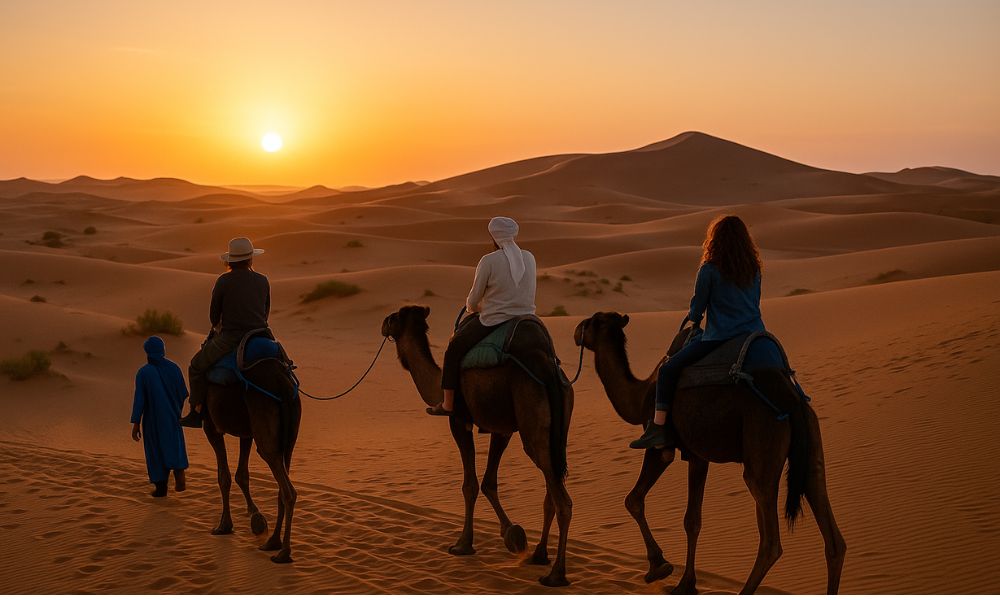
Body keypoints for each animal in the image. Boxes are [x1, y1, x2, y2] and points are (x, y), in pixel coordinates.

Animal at [202, 358, 302, 563]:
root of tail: (282, 384)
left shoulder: (212, 427)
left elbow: (224, 477)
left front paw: (224, 525)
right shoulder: (246, 432)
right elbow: (241, 474)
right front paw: (256, 518)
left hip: (265, 435)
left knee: (288, 490)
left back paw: (283, 552)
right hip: (289, 440)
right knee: (282, 486)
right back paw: (273, 542)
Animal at [381, 305, 574, 587]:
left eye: (395, 316)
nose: (383, 324)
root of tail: (547, 367)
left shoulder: (459, 420)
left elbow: (470, 485)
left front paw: (463, 544)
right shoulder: (502, 429)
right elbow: (489, 482)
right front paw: (513, 535)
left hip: (533, 426)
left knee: (562, 500)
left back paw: (556, 574)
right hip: (559, 430)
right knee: (552, 487)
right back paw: (539, 555)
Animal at [574, 312, 846, 594]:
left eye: (591, 321)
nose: (576, 332)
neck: (640, 397)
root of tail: (792, 401)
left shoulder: (660, 448)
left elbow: (634, 500)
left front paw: (659, 566)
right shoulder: (698, 456)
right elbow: (692, 520)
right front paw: (686, 582)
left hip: (763, 445)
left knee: (770, 541)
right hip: (811, 450)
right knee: (833, 539)